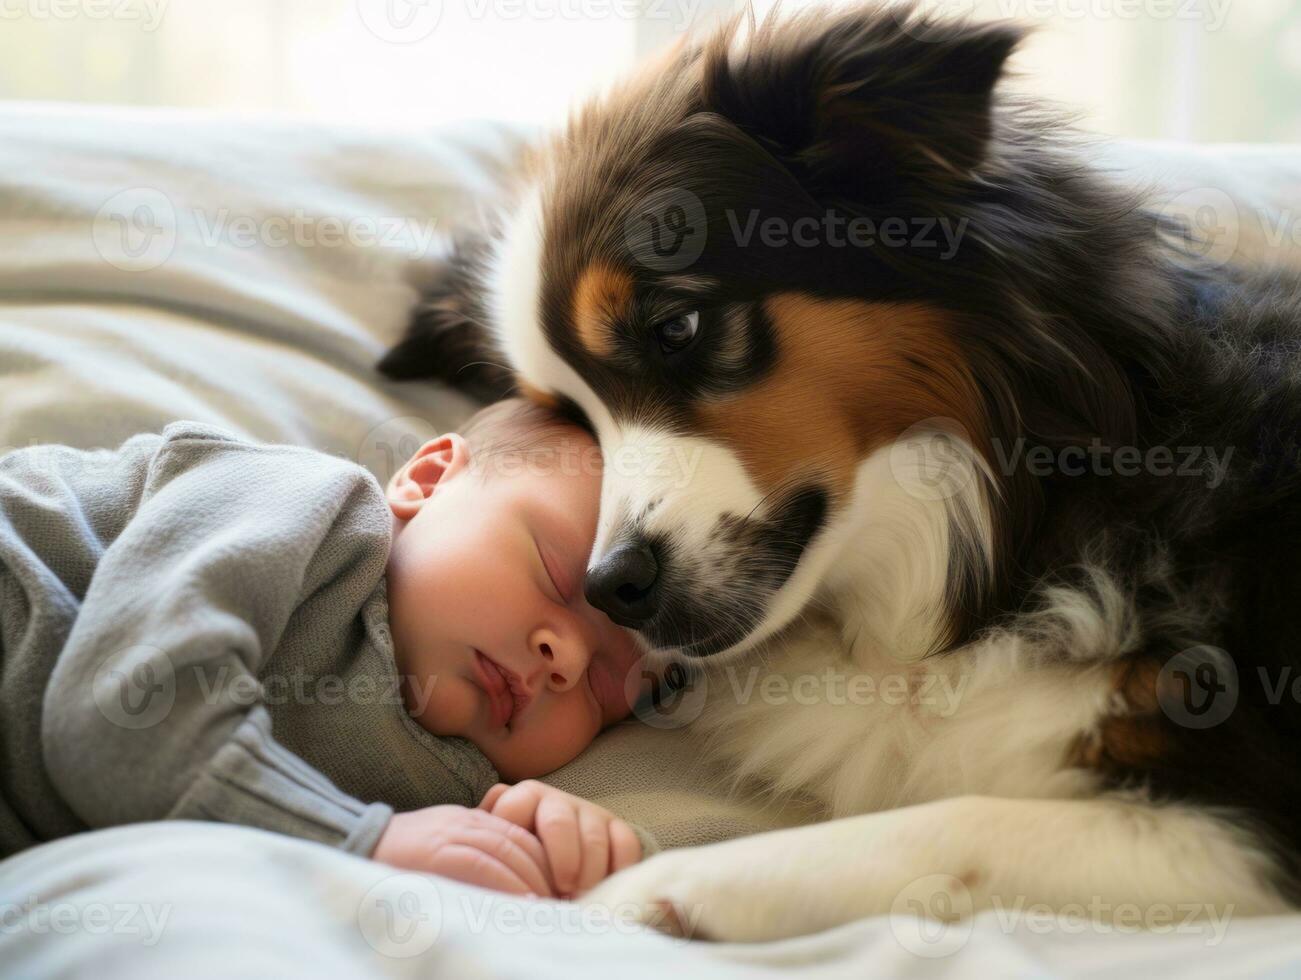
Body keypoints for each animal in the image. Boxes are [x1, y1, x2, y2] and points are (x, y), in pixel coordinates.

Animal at [379, 3, 1301, 942]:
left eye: (675, 327)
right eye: (569, 416)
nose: (609, 588)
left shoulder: (1244, 816)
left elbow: (955, 823)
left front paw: (645, 892)